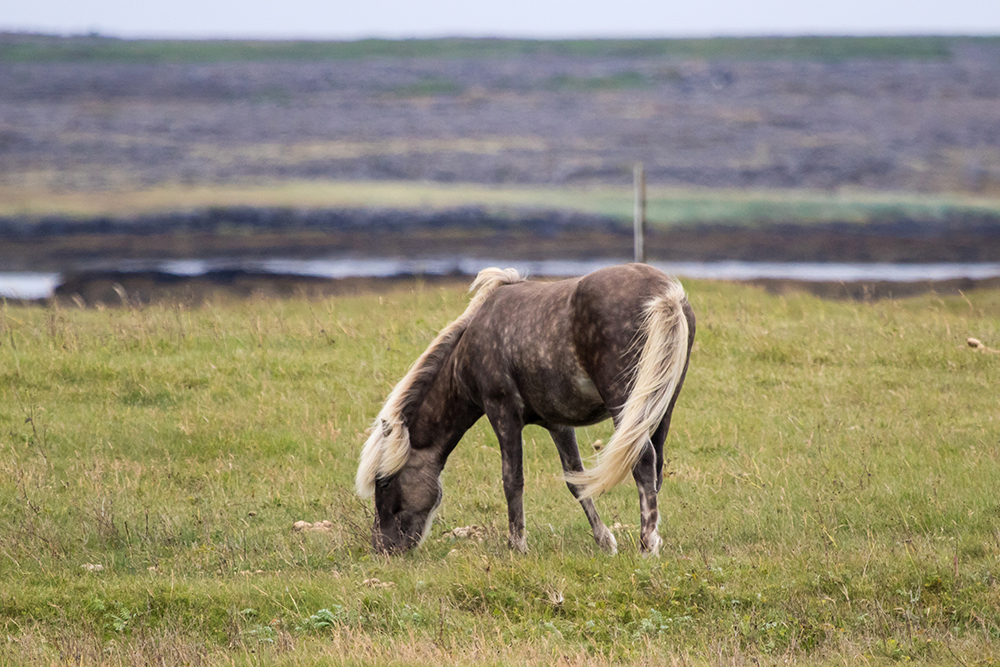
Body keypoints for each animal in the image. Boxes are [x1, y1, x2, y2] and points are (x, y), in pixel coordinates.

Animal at [358, 264, 696, 556]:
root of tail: (665, 293)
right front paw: (604, 540)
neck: (467, 350)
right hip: (660, 406)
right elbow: (576, 479)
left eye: (383, 482)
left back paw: (647, 544)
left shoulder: (502, 413)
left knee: (643, 460)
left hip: (625, 404)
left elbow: (512, 480)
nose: (383, 547)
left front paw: (517, 545)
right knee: (655, 466)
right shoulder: (558, 424)